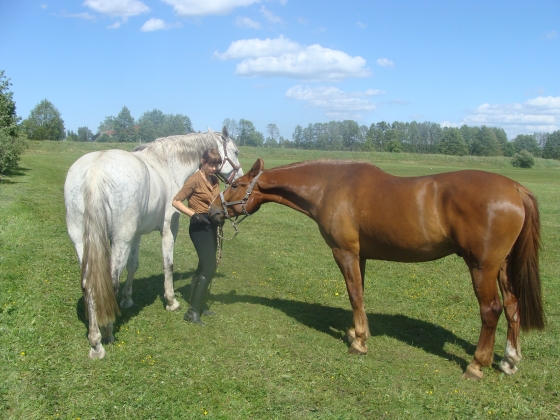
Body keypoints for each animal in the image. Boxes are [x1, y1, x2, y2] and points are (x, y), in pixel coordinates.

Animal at [64, 127, 243, 358]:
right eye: (236, 152)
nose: (240, 180)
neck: (167, 165)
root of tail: (95, 170)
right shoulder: (168, 229)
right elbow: (168, 264)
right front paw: (171, 301)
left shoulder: (136, 234)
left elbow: (133, 265)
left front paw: (127, 299)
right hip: (120, 240)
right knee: (110, 282)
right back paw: (107, 334)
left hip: (82, 241)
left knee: (89, 284)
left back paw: (95, 340)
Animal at [209, 158, 544, 380]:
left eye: (236, 185)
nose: (212, 211)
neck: (330, 186)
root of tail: (515, 188)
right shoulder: (360, 255)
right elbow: (358, 293)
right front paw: (355, 332)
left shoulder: (344, 252)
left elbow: (355, 294)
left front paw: (359, 343)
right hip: (503, 266)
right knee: (513, 306)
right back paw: (509, 361)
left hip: (481, 267)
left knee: (491, 310)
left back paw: (477, 365)